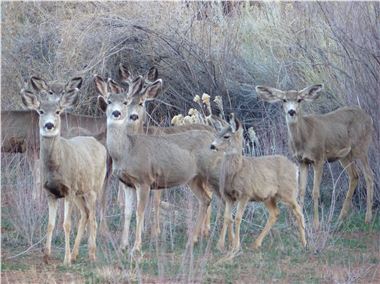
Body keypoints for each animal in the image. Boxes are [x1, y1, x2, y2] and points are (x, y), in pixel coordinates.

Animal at [20, 77, 107, 264]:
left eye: (58, 111)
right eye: (40, 111)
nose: (49, 125)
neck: (56, 167)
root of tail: (99, 144)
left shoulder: (68, 190)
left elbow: (66, 224)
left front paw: (66, 260)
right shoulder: (50, 193)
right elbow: (50, 224)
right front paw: (46, 255)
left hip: (94, 187)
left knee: (93, 218)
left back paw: (92, 254)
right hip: (80, 193)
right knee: (85, 215)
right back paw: (75, 254)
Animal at [255, 84, 374, 229]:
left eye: (299, 99)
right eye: (284, 100)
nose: (291, 111)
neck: (305, 137)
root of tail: (369, 118)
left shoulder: (319, 158)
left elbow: (315, 192)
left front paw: (316, 224)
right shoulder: (302, 161)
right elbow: (301, 191)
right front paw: (299, 222)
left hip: (361, 147)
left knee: (369, 175)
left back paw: (368, 218)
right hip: (345, 155)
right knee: (355, 176)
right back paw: (340, 219)